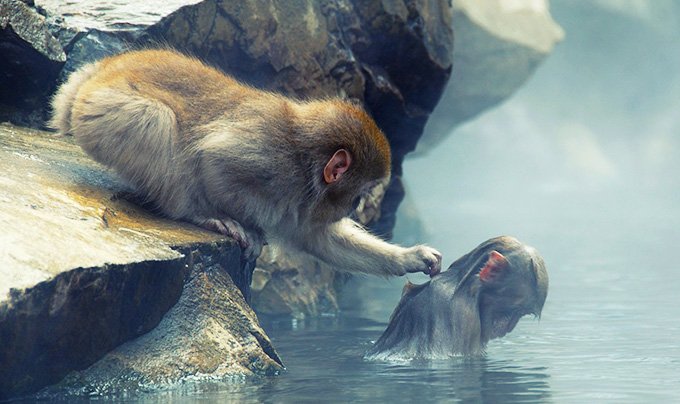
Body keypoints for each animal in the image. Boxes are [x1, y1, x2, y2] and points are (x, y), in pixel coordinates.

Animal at [50, 49, 442, 277]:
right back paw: (192, 213)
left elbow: (313, 235)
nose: (353, 208)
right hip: (101, 114)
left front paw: (410, 257)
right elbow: (214, 159)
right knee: (154, 119)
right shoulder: (268, 159)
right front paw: (239, 222)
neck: (304, 164)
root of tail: (98, 73)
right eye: (359, 194)